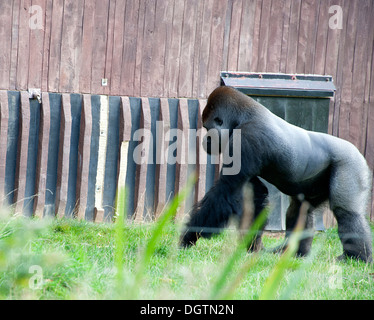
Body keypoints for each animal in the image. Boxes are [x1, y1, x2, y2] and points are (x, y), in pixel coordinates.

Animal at [180, 85, 372, 262]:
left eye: (207, 128)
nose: (205, 140)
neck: (242, 118)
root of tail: (358, 152)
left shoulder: (246, 140)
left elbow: (225, 193)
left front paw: (190, 235)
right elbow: (255, 194)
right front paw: (253, 245)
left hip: (350, 163)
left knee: (346, 212)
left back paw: (356, 257)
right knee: (299, 209)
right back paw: (296, 253)